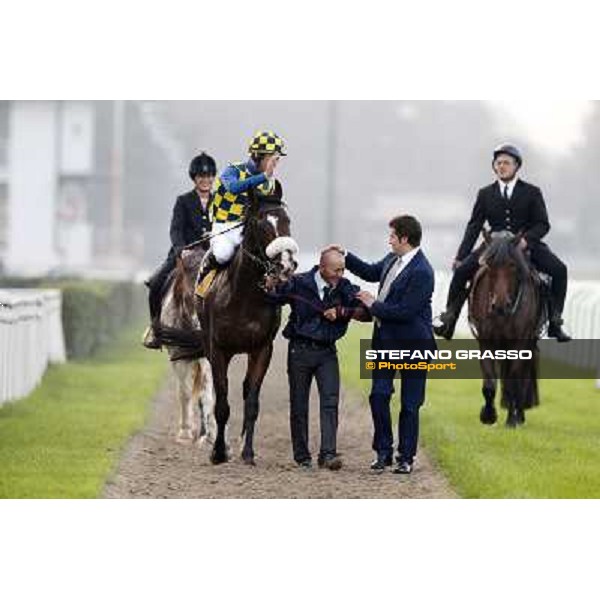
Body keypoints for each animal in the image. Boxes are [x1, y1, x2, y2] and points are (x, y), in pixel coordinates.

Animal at [198, 185, 298, 466]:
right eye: (261, 222)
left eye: (287, 220)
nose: (286, 265)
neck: (243, 297)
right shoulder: (218, 350)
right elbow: (221, 404)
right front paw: (219, 452)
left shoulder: (262, 348)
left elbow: (252, 402)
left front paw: (248, 452)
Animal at [466, 230, 548, 426]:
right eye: (489, 265)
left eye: (512, 265)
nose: (500, 306)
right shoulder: (485, 340)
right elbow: (489, 382)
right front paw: (488, 415)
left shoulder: (519, 342)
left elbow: (513, 378)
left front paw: (512, 419)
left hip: (528, 343)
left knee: (522, 376)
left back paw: (520, 415)